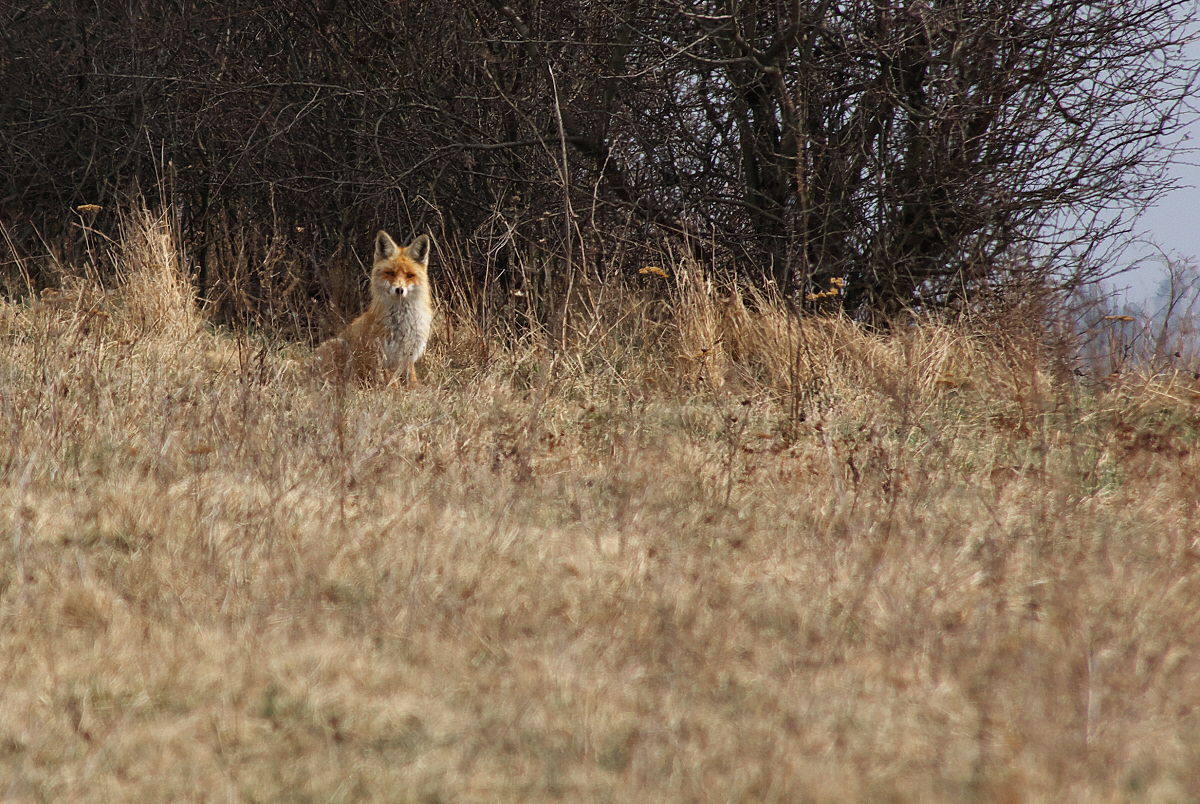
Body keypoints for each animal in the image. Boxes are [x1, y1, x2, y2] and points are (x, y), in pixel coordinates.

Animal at [316, 231, 434, 386]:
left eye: (410, 275)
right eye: (390, 273)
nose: (399, 290)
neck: (402, 323)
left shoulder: (407, 356)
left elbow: (412, 381)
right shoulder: (382, 356)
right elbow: (393, 384)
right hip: (341, 346)